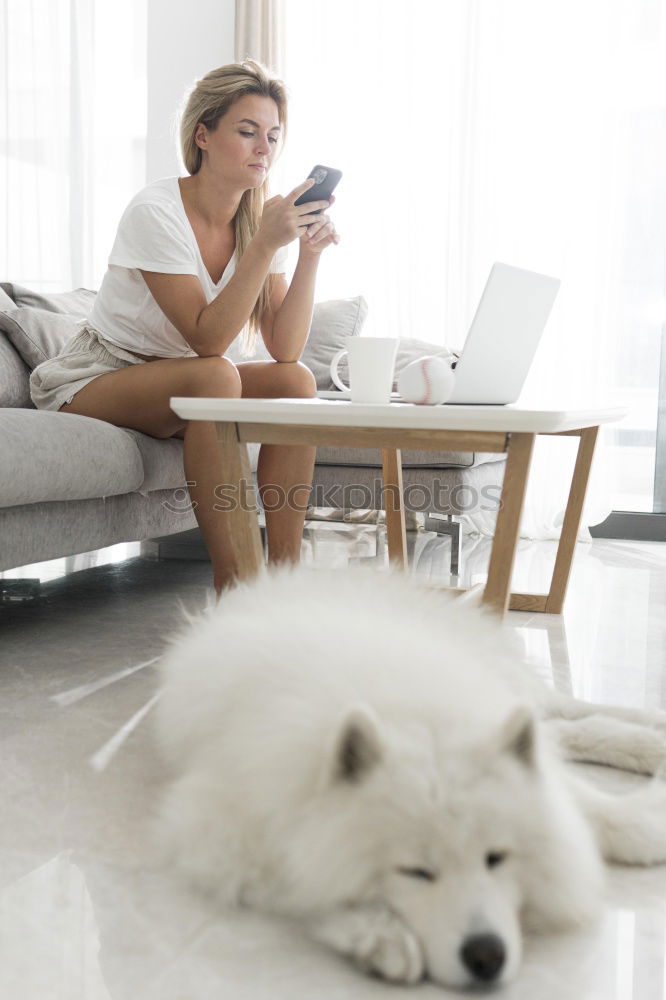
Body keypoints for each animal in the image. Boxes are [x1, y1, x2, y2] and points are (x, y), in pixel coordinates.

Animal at [150, 568, 664, 988]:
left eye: (496, 859)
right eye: (416, 871)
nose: (484, 957)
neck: (411, 717)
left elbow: (582, 801)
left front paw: (634, 827)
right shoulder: (217, 829)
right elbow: (304, 880)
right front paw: (381, 935)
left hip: (507, 682)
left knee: (575, 713)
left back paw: (650, 730)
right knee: (567, 728)